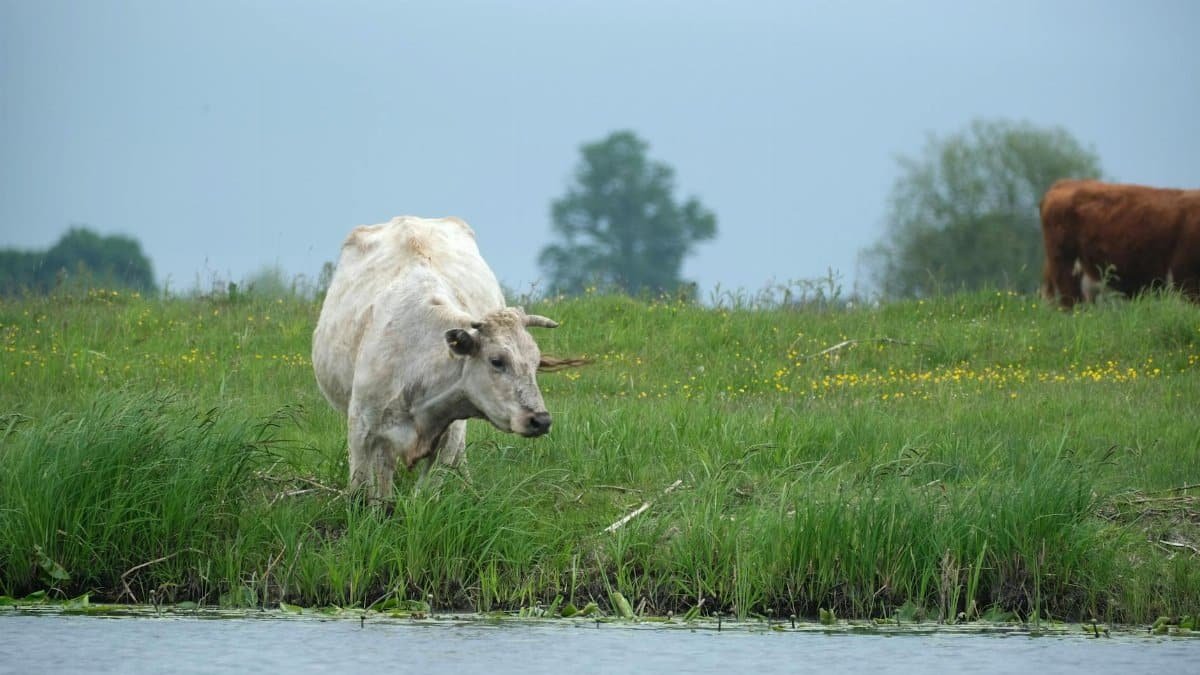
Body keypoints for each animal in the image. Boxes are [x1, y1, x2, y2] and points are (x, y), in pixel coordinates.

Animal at [312, 216, 566, 502]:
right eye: (497, 361)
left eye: (536, 363)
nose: (541, 420)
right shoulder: (361, 428)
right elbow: (362, 492)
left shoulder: (449, 436)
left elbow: (425, 493)